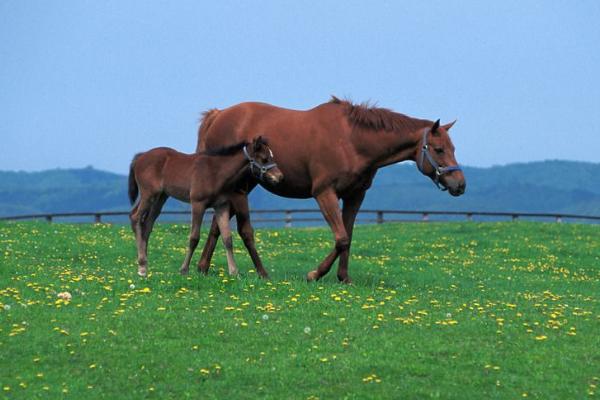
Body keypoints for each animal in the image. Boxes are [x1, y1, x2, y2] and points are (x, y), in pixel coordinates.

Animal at [129, 136, 284, 276]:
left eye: (271, 156)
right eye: (264, 158)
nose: (280, 177)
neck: (216, 172)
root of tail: (141, 157)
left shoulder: (222, 206)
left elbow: (227, 238)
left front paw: (234, 272)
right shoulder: (198, 204)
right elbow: (194, 238)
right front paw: (184, 270)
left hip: (160, 197)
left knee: (147, 224)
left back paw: (145, 265)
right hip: (149, 194)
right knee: (135, 217)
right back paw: (141, 266)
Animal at [196, 96, 464, 284]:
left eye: (453, 148)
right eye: (439, 149)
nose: (460, 184)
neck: (352, 140)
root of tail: (218, 115)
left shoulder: (355, 196)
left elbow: (348, 236)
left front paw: (343, 277)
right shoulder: (324, 193)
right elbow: (341, 238)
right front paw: (314, 274)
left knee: (217, 226)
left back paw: (202, 268)